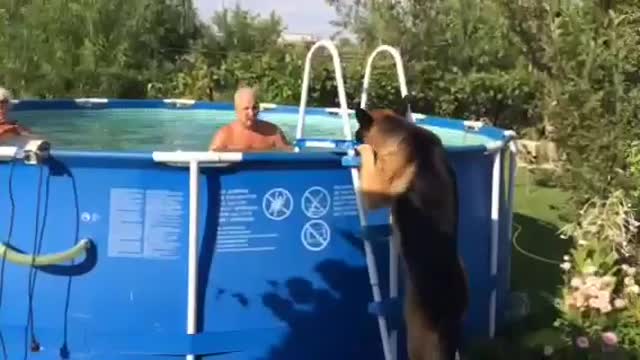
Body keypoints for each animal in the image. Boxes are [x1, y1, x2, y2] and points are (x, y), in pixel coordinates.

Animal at [352, 95, 468, 360]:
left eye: (359, 130)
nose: (353, 137)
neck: (401, 129)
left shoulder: (378, 188)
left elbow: (371, 165)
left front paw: (363, 151)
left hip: (416, 335)